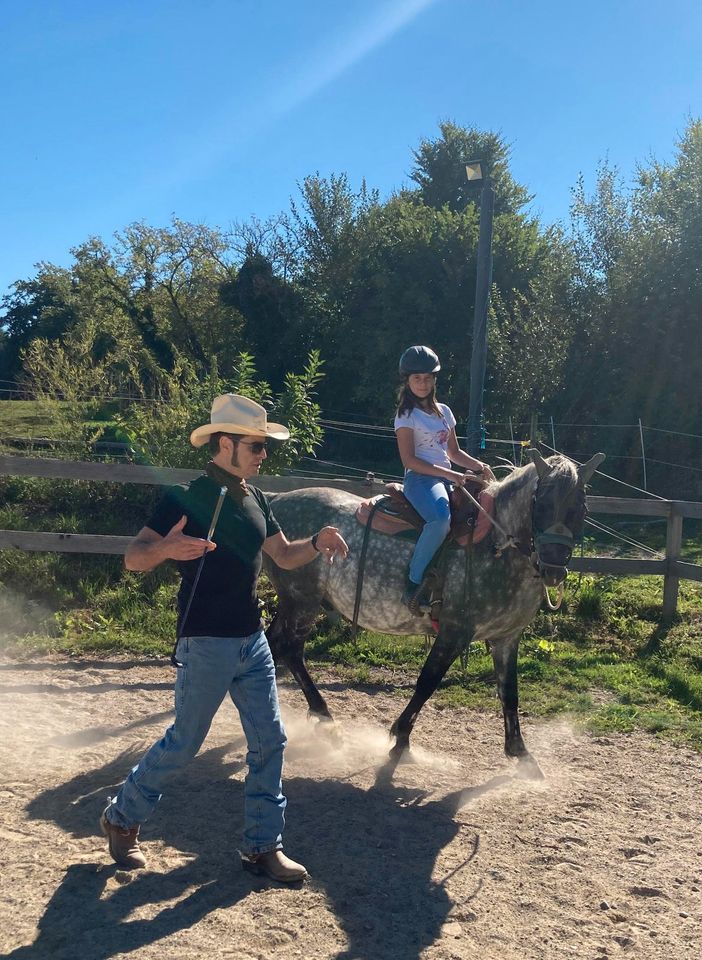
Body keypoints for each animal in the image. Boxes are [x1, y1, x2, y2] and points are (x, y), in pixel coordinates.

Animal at [264, 450, 604, 772]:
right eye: (541, 504)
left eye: (581, 509)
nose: (553, 570)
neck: (496, 549)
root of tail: (276, 500)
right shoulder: (454, 632)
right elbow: (428, 681)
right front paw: (401, 739)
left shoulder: (507, 638)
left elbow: (509, 692)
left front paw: (521, 753)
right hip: (302, 602)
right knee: (290, 649)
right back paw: (325, 721)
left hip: (295, 603)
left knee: (275, 645)